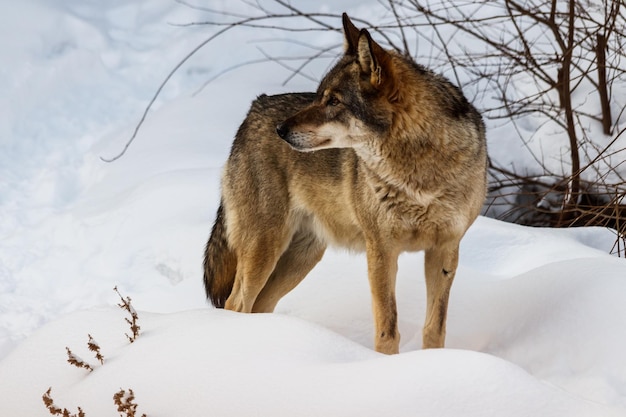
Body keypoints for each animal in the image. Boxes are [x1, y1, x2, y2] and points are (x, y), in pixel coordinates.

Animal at [202, 12, 486, 352]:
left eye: (334, 101)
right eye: (319, 95)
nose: (280, 130)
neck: (418, 173)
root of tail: (253, 109)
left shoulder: (445, 250)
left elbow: (435, 328)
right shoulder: (381, 251)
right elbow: (387, 329)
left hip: (301, 258)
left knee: (259, 306)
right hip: (264, 250)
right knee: (236, 304)